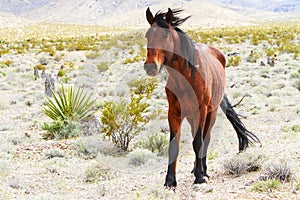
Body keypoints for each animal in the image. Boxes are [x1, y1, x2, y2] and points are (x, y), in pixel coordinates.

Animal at [144, 7, 260, 188]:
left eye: (166, 36)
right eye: (147, 35)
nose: (150, 66)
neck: (186, 77)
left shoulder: (202, 111)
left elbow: (199, 142)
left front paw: (200, 177)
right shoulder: (174, 113)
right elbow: (174, 145)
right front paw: (170, 181)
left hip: (210, 114)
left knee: (206, 139)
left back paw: (203, 170)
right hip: (193, 117)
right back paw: (194, 169)